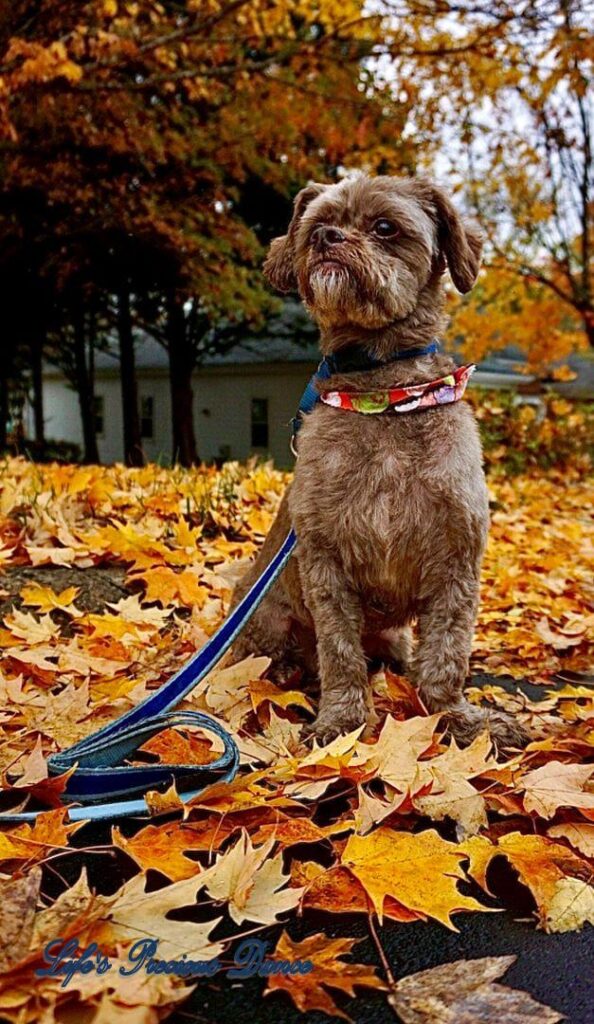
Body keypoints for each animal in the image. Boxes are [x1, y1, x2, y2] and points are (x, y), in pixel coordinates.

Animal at [232, 176, 528, 749]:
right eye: (316, 223)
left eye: (386, 227)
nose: (324, 237)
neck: (384, 391)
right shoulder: (326, 564)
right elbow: (341, 654)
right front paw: (342, 723)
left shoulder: (456, 562)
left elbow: (446, 656)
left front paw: (457, 717)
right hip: (257, 612)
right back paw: (282, 672)